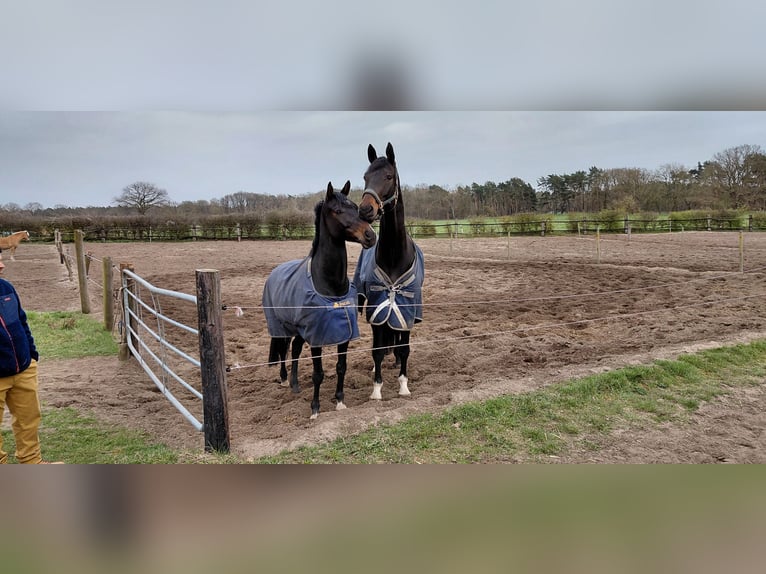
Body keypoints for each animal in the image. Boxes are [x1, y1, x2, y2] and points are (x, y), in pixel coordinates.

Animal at [262, 181, 376, 419]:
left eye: (356, 207)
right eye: (338, 211)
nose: (370, 236)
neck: (331, 288)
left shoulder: (344, 334)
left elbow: (341, 366)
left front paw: (340, 401)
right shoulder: (317, 337)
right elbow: (318, 373)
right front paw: (315, 409)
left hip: (299, 330)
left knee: (295, 349)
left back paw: (295, 384)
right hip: (282, 327)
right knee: (283, 350)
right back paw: (284, 379)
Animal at [354, 143, 425, 401]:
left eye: (388, 176)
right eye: (365, 177)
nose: (365, 209)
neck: (394, 255)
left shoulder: (406, 309)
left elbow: (404, 349)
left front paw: (403, 385)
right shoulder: (377, 307)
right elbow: (376, 349)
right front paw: (377, 389)